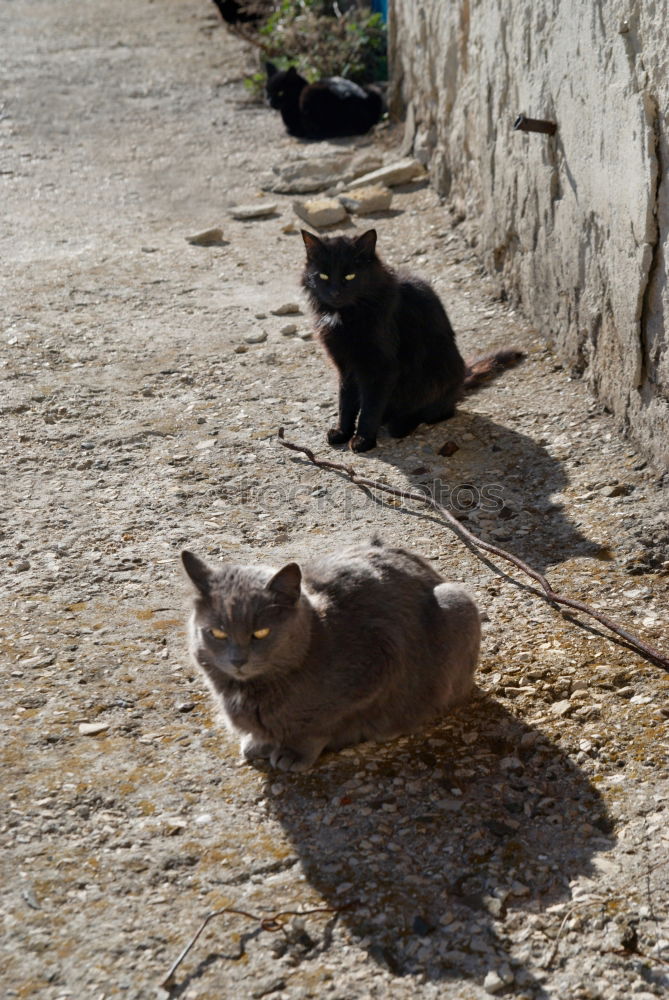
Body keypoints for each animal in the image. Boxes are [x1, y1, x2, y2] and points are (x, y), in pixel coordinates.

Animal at [180, 540, 478, 772]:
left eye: (261, 632)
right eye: (217, 633)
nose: (237, 660)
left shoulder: (380, 660)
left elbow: (320, 725)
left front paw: (293, 752)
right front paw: (260, 742)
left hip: (456, 603)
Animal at [300, 229, 524, 452]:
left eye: (350, 276)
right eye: (323, 276)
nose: (335, 293)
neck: (345, 314)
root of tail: (459, 384)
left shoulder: (381, 368)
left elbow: (369, 409)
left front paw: (363, 440)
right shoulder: (345, 364)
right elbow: (345, 402)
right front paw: (342, 432)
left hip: (437, 371)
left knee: (439, 412)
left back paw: (401, 423)